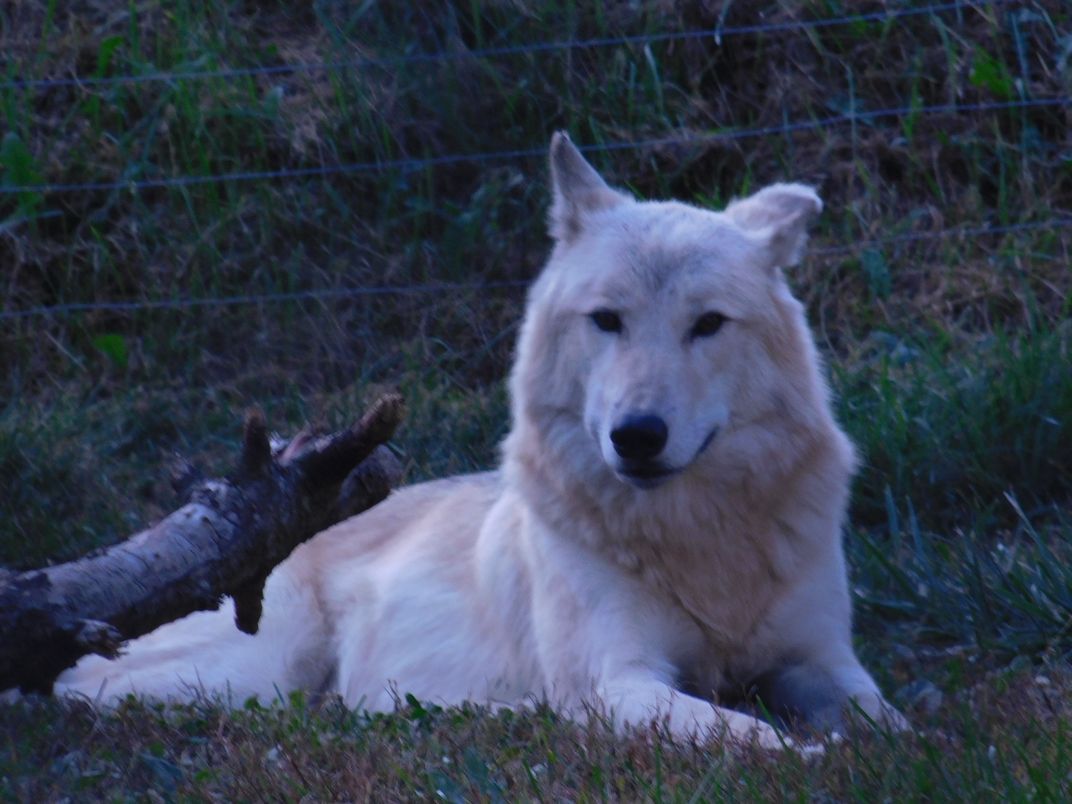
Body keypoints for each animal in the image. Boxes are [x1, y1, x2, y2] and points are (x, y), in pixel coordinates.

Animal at [57, 133, 904, 748]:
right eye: (608, 320)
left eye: (708, 325)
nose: (635, 436)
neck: (701, 538)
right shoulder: (620, 680)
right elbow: (743, 733)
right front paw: (802, 753)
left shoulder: (823, 662)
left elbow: (892, 723)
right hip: (262, 667)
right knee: (104, 700)